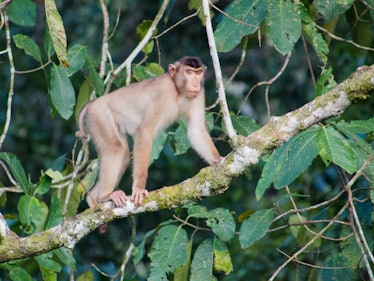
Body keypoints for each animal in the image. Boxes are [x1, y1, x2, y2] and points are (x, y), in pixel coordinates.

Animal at [75, 55, 222, 207]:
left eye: (198, 73)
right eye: (189, 72)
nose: (195, 83)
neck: (177, 90)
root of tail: (93, 103)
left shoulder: (199, 94)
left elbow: (195, 130)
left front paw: (217, 159)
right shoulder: (163, 93)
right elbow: (145, 131)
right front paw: (139, 188)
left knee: (124, 155)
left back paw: (93, 199)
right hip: (99, 116)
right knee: (115, 149)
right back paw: (104, 196)